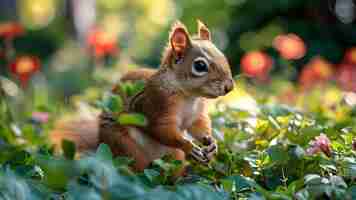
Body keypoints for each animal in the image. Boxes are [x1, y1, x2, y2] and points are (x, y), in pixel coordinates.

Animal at [50, 20, 234, 173]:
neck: (188, 96)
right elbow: (161, 130)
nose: (230, 87)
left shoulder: (196, 114)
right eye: (200, 65)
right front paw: (189, 147)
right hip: (126, 147)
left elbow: (199, 126)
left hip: (174, 157)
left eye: (223, 56)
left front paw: (211, 143)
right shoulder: (156, 103)